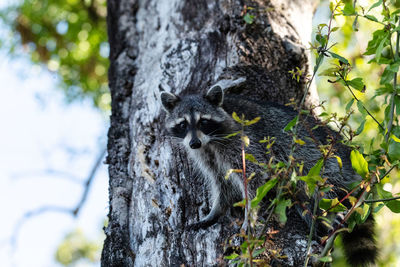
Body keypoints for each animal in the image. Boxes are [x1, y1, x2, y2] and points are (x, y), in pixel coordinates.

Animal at [159, 85, 376, 266]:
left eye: (203, 121)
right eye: (183, 124)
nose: (194, 143)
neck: (210, 141)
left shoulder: (241, 142)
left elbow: (253, 178)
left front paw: (249, 216)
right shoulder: (207, 155)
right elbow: (221, 183)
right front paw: (215, 211)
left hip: (325, 161)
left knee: (322, 186)